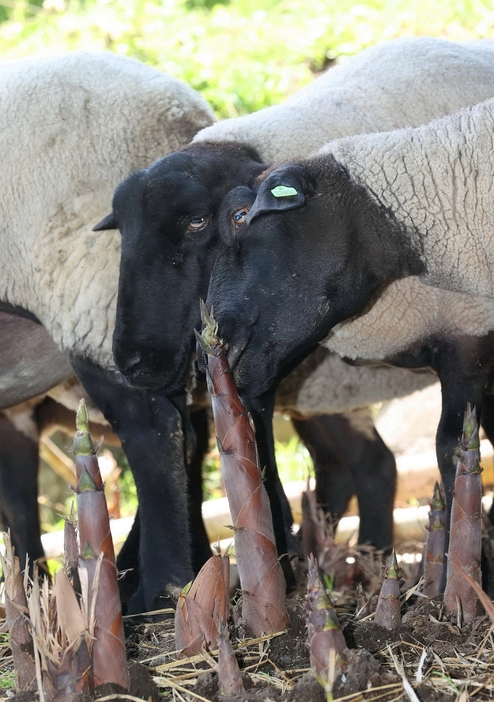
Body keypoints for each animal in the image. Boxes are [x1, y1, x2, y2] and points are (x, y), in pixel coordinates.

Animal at [0, 49, 216, 612]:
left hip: (91, 290)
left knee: (152, 431)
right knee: (188, 430)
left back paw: (157, 588)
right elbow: (17, 496)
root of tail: (183, 115)